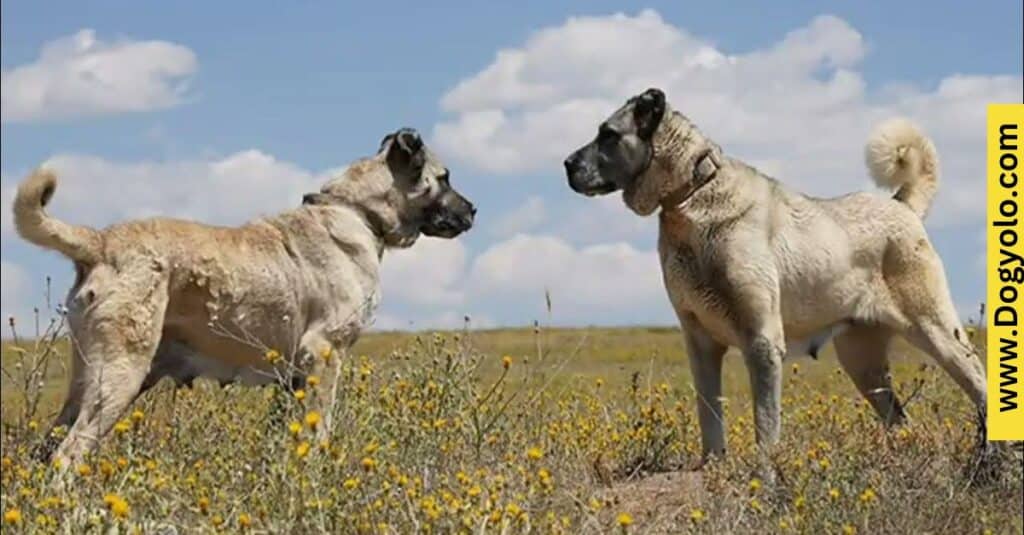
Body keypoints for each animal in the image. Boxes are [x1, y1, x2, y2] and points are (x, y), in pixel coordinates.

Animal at [12, 127, 475, 463]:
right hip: (119, 375)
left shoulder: (295, 376)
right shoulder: (324, 354)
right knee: (68, 455)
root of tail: (101, 241)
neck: (358, 211)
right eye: (444, 178)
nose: (473, 210)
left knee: (47, 450)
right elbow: (321, 429)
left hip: (90, 380)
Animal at [565, 88, 987, 461]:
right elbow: (709, 416)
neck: (691, 194)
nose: (567, 163)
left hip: (936, 332)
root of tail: (902, 207)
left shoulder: (761, 342)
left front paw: (766, 477)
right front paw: (714, 467)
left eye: (608, 134)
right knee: (900, 419)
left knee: (981, 386)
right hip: (862, 362)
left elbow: (765, 426)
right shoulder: (700, 343)